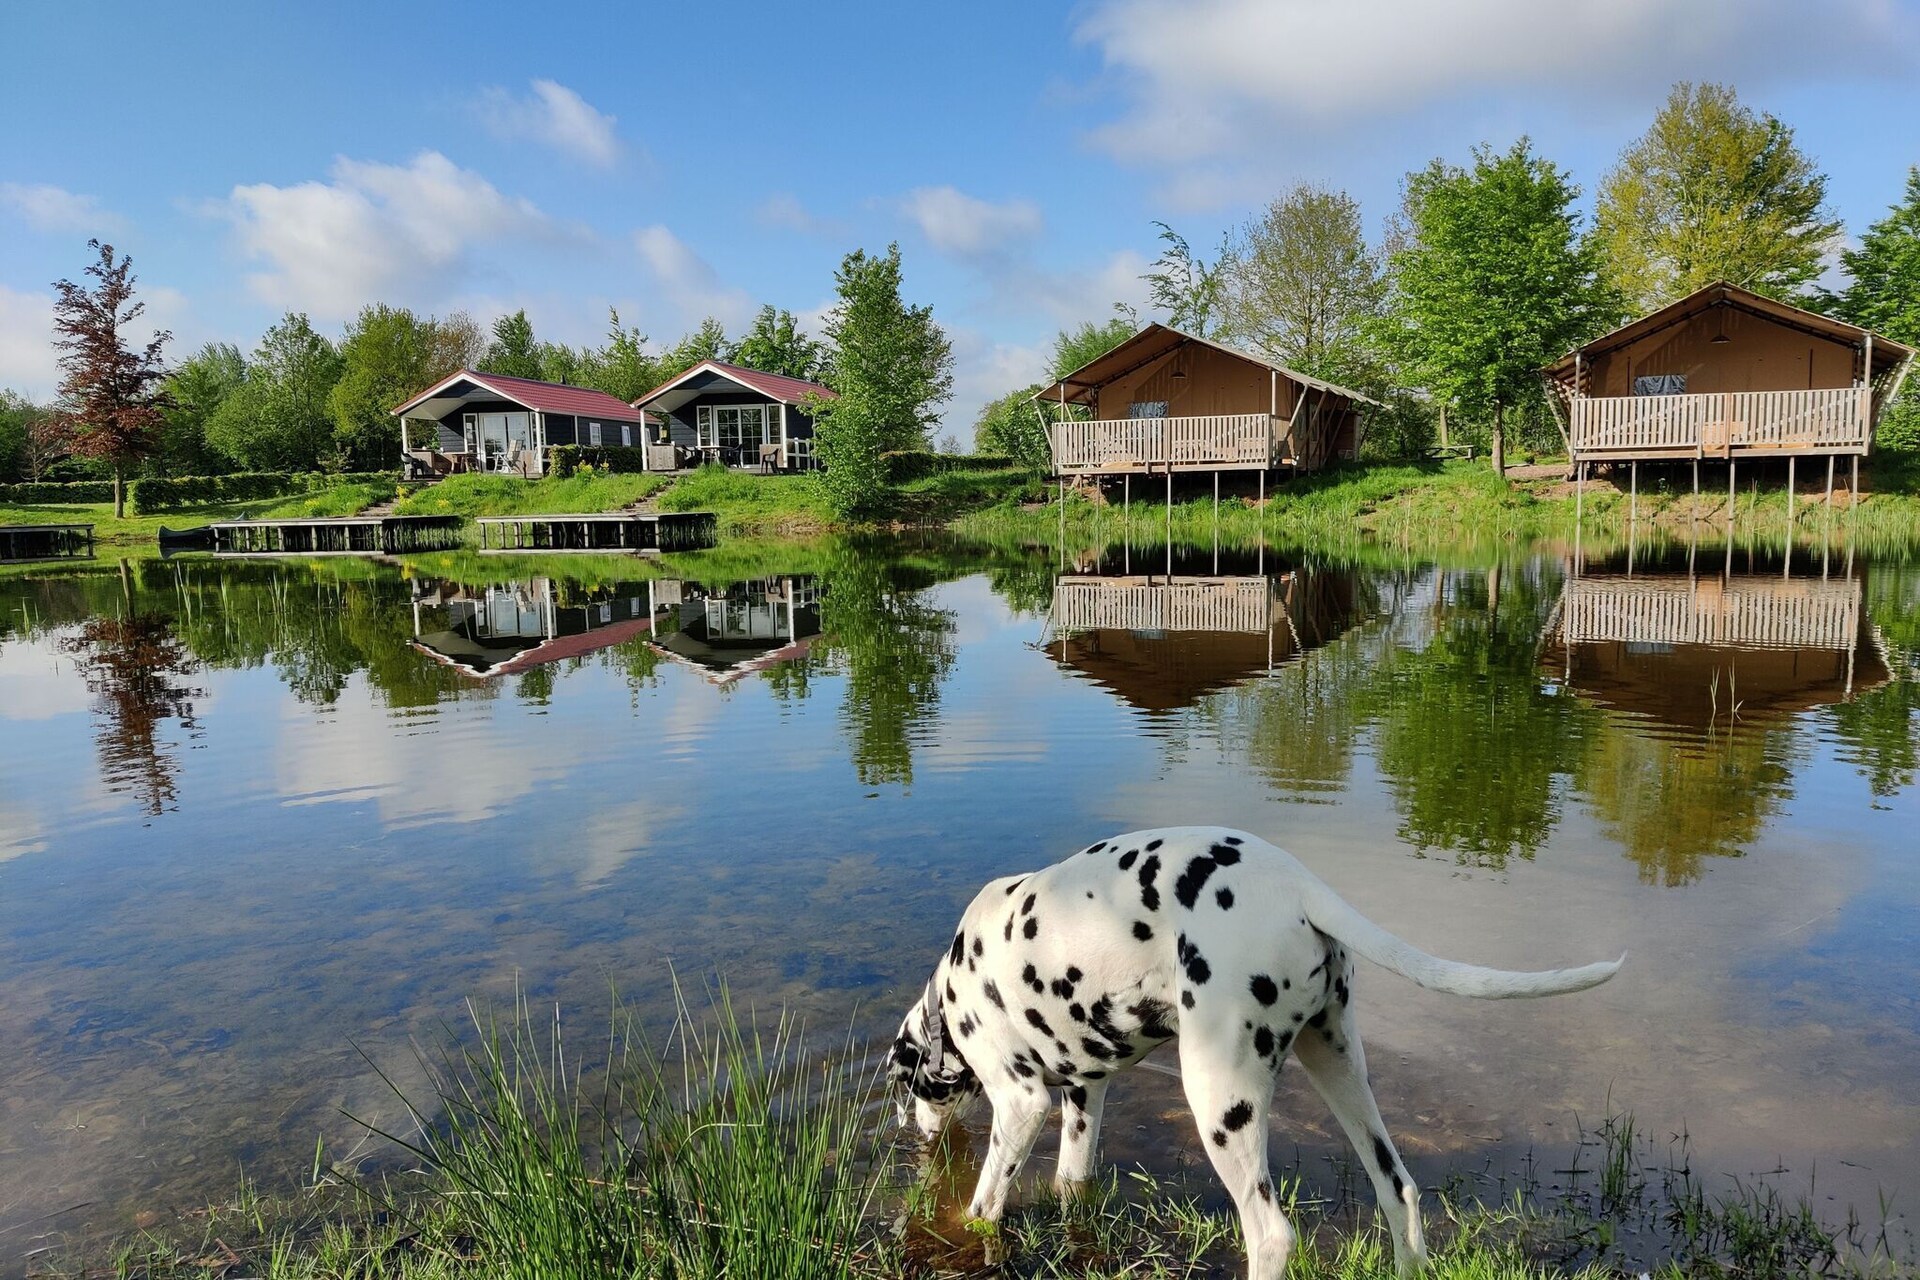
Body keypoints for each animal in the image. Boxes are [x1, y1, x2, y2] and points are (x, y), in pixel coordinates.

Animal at [890, 832, 1628, 1280]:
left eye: (909, 1091)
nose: (913, 1137)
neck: (953, 989)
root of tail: (1299, 886)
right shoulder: (1083, 1096)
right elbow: (1073, 1182)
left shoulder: (1022, 1105)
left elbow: (982, 1204)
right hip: (1341, 1072)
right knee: (1399, 1190)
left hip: (1222, 1102)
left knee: (1271, 1235)